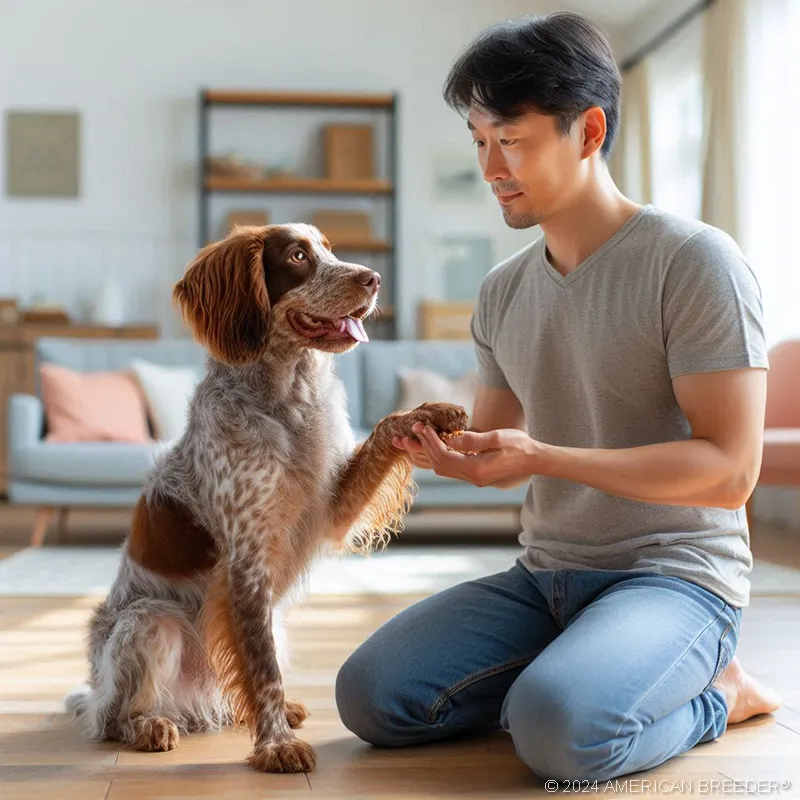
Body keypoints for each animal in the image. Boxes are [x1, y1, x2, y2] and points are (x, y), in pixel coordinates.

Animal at [67, 222, 468, 772]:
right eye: (298, 256)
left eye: (329, 249)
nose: (374, 279)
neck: (287, 399)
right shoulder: (247, 563)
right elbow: (263, 670)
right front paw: (276, 746)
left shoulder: (330, 512)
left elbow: (386, 427)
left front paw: (432, 413)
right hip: (151, 621)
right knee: (111, 718)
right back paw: (149, 726)